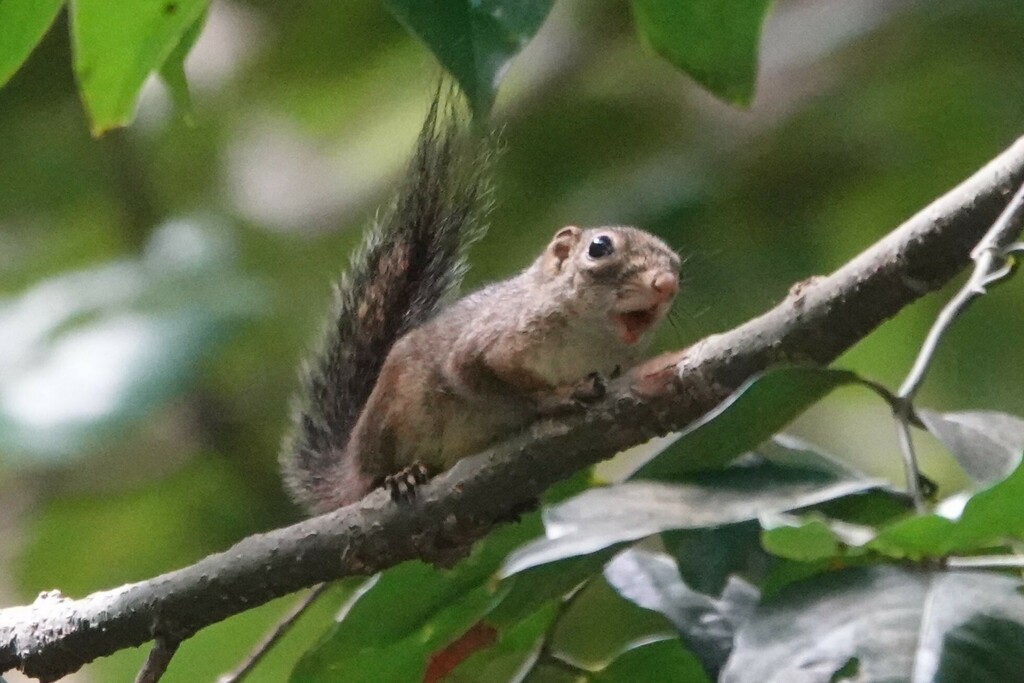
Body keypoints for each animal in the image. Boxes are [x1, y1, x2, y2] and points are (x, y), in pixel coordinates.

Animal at [281, 96, 680, 516]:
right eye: (599, 247)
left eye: (678, 267)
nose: (665, 284)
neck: (585, 341)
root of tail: (349, 469)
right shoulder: (490, 339)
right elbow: (481, 379)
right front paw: (559, 397)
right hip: (389, 419)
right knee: (372, 477)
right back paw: (398, 476)